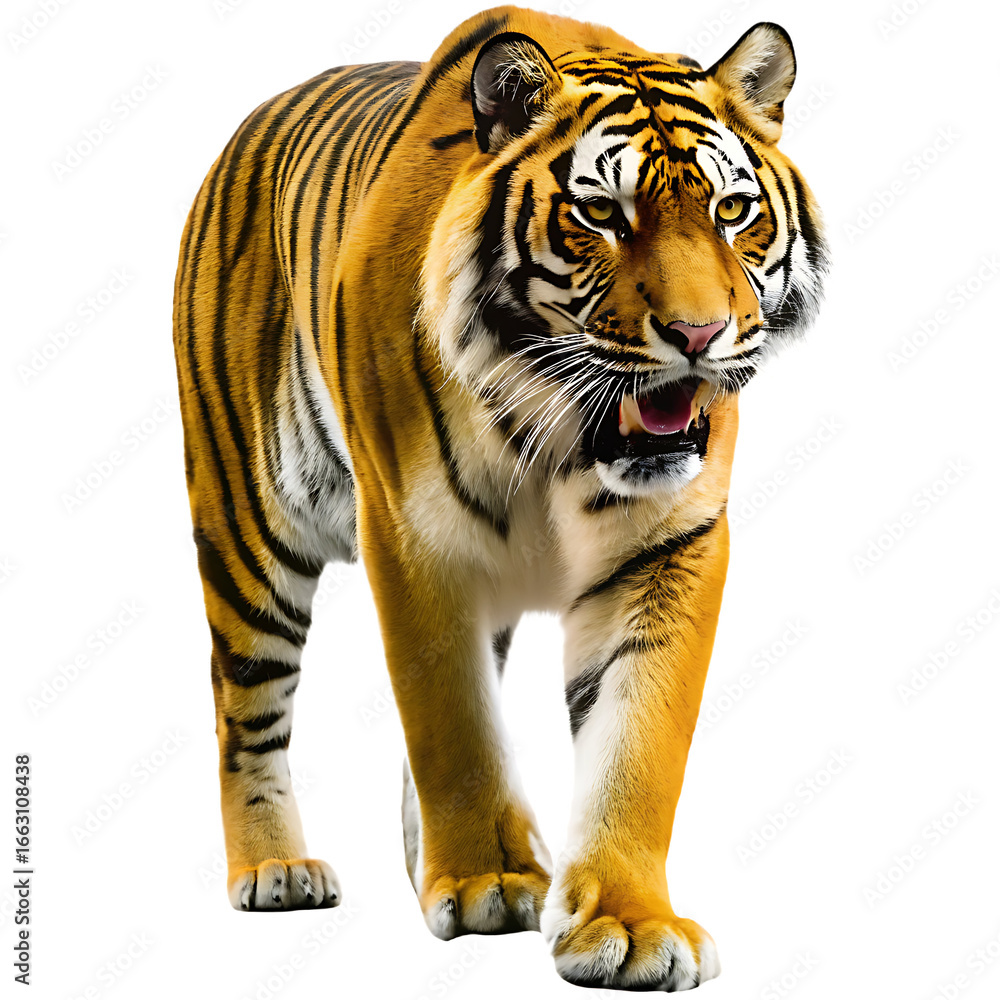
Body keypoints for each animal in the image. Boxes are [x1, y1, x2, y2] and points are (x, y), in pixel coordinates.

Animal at [172, 4, 826, 991]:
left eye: (731, 210)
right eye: (601, 213)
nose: (700, 334)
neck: (559, 429)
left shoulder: (669, 549)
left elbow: (639, 743)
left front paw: (629, 923)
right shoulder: (415, 541)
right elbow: (451, 722)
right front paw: (484, 879)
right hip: (249, 524)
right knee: (243, 708)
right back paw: (276, 868)